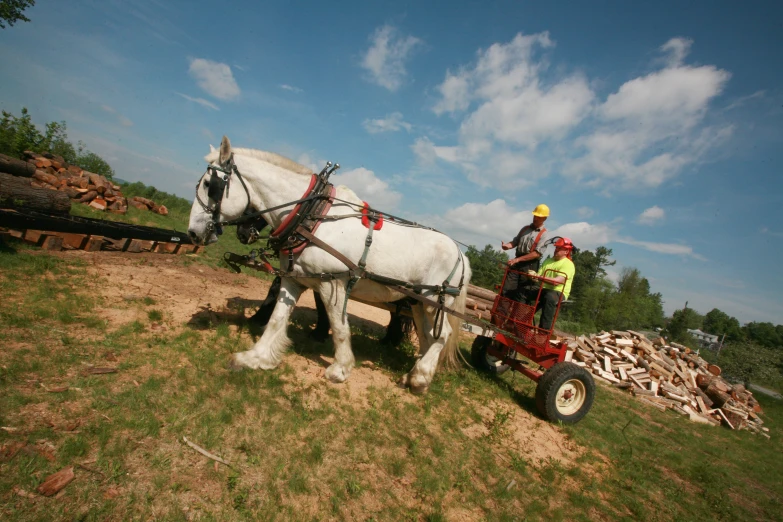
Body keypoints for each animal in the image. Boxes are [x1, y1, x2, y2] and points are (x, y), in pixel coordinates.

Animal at [190, 136, 472, 392]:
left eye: (209, 185)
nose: (193, 232)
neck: (313, 216)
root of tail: (461, 254)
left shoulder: (332, 283)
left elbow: (339, 327)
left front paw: (340, 368)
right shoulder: (293, 278)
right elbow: (277, 319)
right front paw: (256, 357)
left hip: (433, 300)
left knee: (442, 335)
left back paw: (420, 378)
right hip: (417, 301)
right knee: (427, 336)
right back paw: (416, 373)